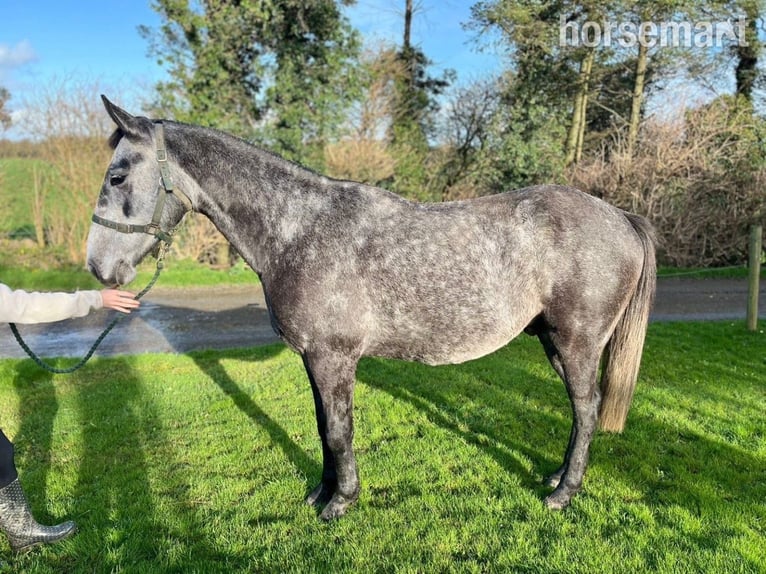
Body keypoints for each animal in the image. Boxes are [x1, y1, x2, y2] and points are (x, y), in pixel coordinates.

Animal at [86, 96, 656, 520]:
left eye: (117, 177)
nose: (98, 268)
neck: (299, 230)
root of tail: (621, 216)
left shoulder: (333, 357)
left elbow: (340, 430)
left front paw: (341, 501)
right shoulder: (314, 359)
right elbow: (322, 425)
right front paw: (321, 492)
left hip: (576, 342)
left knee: (586, 407)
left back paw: (563, 493)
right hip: (553, 342)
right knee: (581, 411)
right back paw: (558, 476)